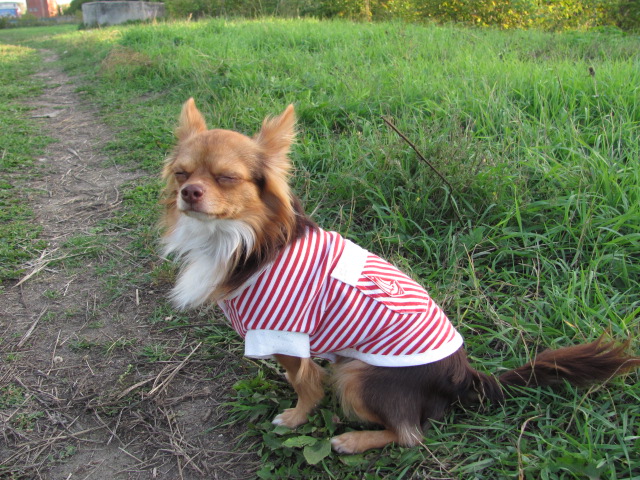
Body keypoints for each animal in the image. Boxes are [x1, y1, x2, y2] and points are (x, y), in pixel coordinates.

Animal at [161, 98, 640, 454]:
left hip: (358, 377)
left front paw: (296, 416)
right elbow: (304, 376)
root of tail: (463, 376)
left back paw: (354, 440)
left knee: (411, 435)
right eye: (182, 173)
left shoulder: (283, 332)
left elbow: (306, 384)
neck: (243, 240)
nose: (189, 193)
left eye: (226, 178)